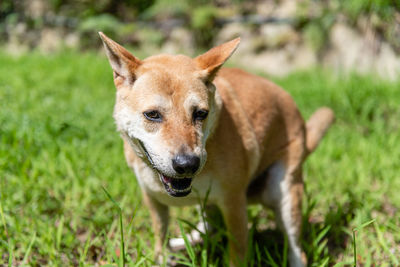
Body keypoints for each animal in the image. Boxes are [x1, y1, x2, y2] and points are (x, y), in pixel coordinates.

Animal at [99, 31, 334, 267]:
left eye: (200, 113)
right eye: (152, 114)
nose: (188, 164)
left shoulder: (234, 203)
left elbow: (237, 250)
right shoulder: (153, 200)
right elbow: (160, 236)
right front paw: (164, 255)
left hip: (282, 192)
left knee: (297, 250)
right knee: (208, 224)